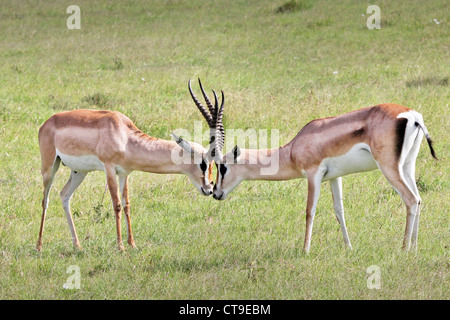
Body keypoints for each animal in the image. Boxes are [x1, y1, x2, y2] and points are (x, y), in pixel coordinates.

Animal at [36, 79, 222, 250]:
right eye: (203, 164)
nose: (209, 189)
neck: (125, 137)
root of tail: (47, 123)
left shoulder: (124, 173)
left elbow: (127, 205)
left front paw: (132, 244)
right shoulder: (109, 169)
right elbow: (117, 204)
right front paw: (120, 246)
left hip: (79, 171)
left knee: (64, 195)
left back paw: (77, 246)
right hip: (49, 167)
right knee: (45, 200)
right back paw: (39, 246)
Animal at [203, 97, 436, 252]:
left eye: (222, 167)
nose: (215, 193)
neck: (292, 149)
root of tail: (412, 116)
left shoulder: (313, 174)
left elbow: (310, 211)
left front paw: (305, 250)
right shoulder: (334, 177)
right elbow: (339, 210)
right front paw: (349, 247)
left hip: (388, 167)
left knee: (410, 199)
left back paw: (404, 249)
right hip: (407, 166)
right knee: (419, 199)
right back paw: (415, 248)